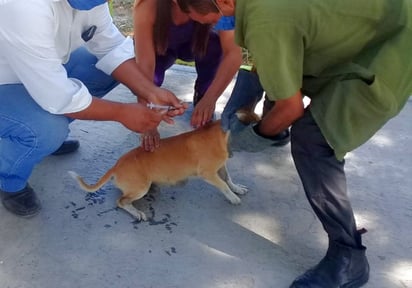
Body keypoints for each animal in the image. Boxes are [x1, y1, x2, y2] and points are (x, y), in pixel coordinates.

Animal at [69, 110, 260, 220]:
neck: (222, 135)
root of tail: (115, 166)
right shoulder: (208, 173)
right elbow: (223, 185)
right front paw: (233, 197)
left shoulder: (220, 167)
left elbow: (228, 179)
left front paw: (237, 189)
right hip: (140, 188)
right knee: (121, 201)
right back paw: (137, 213)